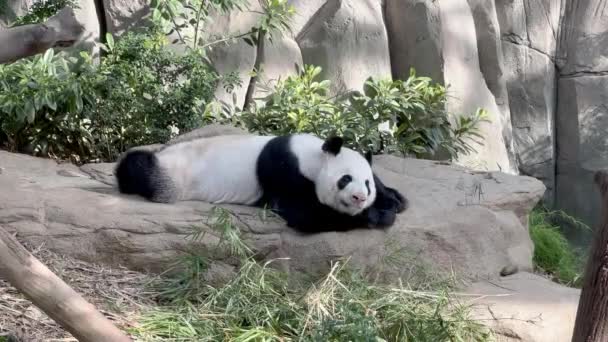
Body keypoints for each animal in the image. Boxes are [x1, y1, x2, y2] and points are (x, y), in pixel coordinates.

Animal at [114, 132, 408, 234]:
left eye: (366, 184)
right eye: (345, 180)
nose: (360, 198)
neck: (310, 157)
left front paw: (394, 198)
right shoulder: (283, 172)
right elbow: (306, 214)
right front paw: (378, 215)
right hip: (170, 173)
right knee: (138, 167)